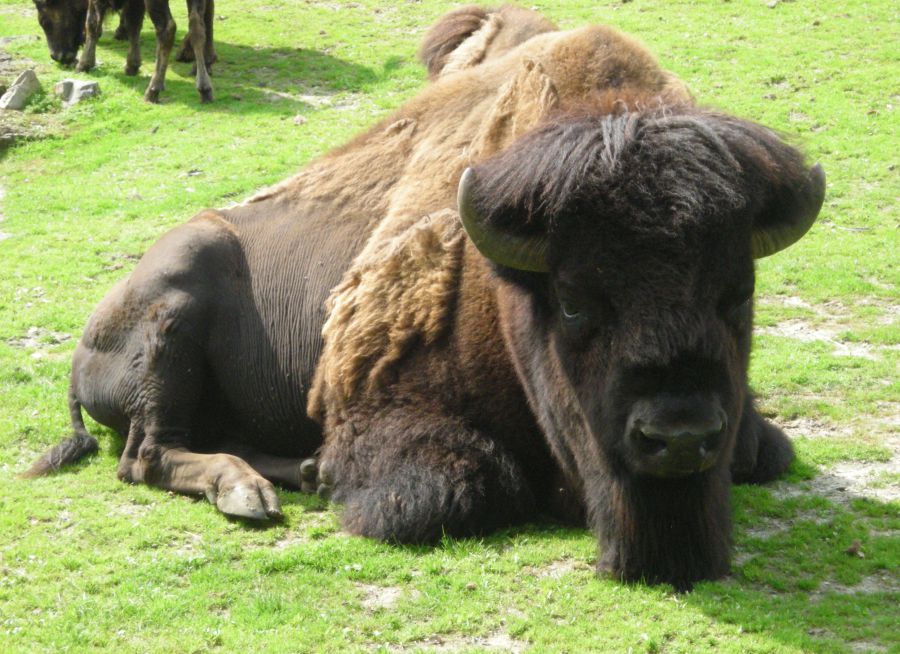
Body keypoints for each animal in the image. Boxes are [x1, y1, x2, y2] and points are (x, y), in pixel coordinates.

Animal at [33, 0, 218, 102]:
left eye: (44, 19)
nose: (57, 56)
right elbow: (133, 23)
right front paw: (131, 66)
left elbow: (92, 22)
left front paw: (84, 64)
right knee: (197, 25)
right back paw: (204, 87)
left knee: (167, 28)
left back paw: (153, 90)